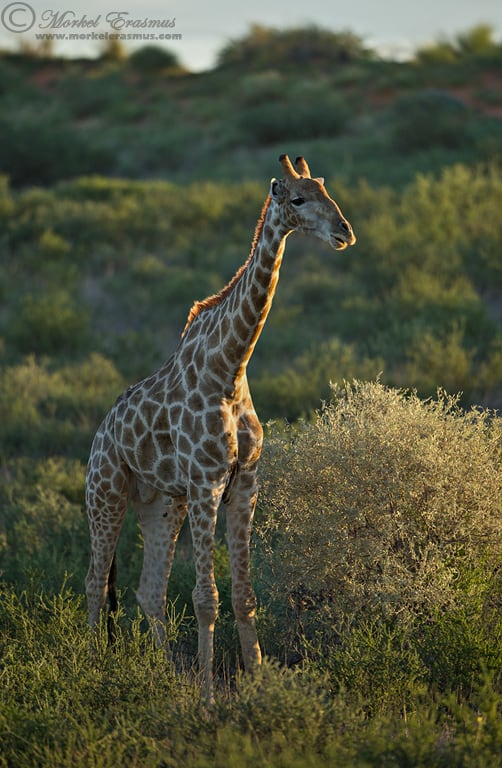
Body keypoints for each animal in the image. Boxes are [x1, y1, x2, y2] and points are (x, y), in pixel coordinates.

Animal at [84, 154, 354, 704]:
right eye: (298, 199)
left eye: (328, 192)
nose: (344, 232)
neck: (230, 368)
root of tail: (100, 436)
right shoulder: (207, 482)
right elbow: (206, 598)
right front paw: (209, 699)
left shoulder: (245, 482)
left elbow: (243, 596)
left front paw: (258, 683)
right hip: (106, 494)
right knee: (96, 584)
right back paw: (93, 670)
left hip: (161, 503)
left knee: (148, 592)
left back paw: (166, 676)